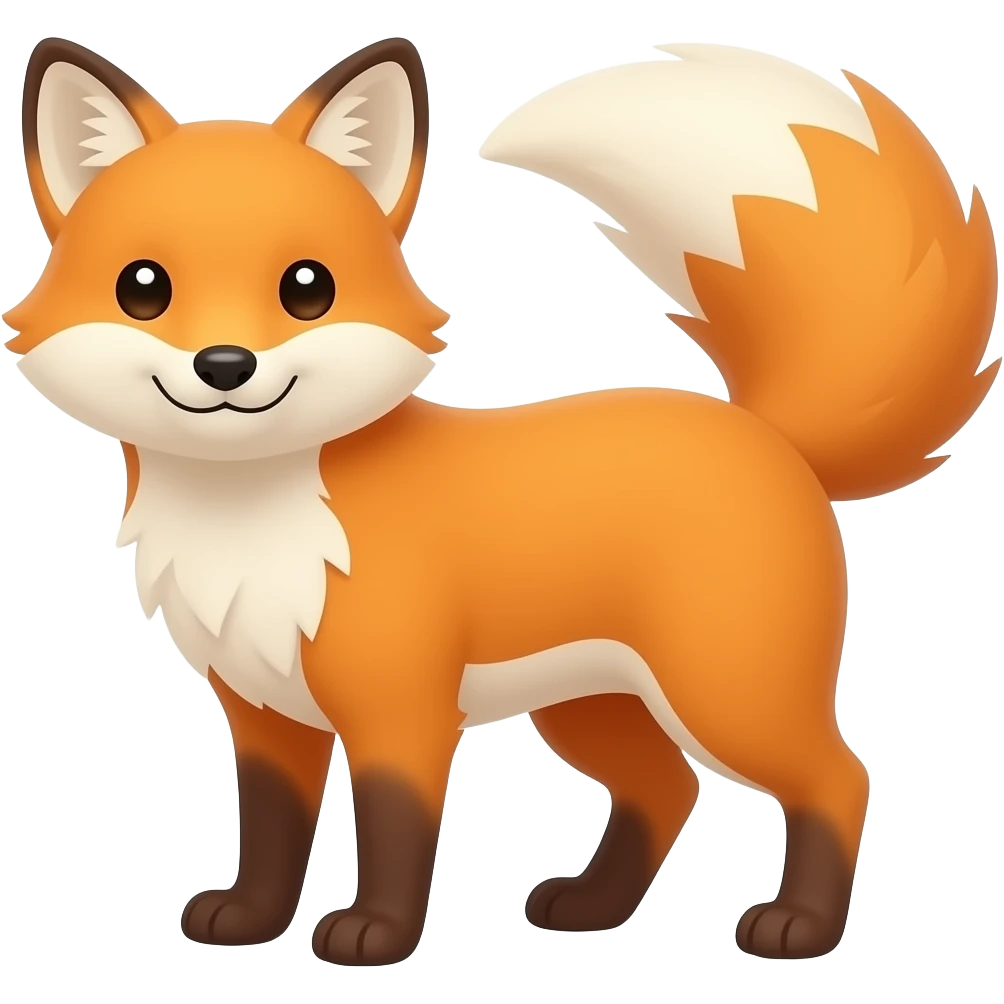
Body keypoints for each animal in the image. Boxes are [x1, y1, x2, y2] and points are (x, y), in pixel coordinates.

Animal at [5, 36, 998, 966]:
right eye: (144, 288)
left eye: (306, 288)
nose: (224, 365)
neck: (250, 518)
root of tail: (766, 431)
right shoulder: (263, 712)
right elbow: (273, 834)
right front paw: (249, 921)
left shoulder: (401, 710)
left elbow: (395, 834)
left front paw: (376, 934)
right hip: (591, 705)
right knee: (667, 788)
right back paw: (593, 909)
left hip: (727, 694)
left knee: (839, 777)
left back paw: (800, 928)